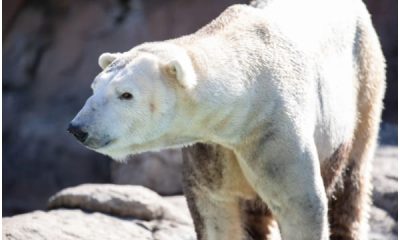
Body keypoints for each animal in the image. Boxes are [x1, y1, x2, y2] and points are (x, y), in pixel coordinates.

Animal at [68, 0, 384, 239]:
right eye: (94, 87)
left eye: (126, 94)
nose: (77, 129)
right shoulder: (213, 147)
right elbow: (216, 208)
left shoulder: (273, 128)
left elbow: (300, 204)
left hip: (364, 82)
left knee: (351, 183)